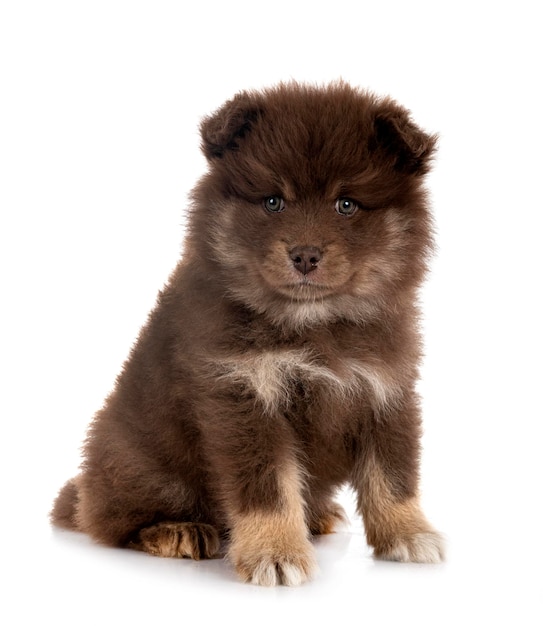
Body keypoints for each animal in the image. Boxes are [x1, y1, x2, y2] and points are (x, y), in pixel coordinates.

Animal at [51, 80, 444, 584]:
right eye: (273, 201)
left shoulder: (386, 389)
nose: (305, 255)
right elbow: (269, 488)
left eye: (346, 205)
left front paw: (408, 533)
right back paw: (177, 531)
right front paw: (275, 551)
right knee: (111, 521)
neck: (313, 325)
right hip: (143, 469)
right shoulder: (244, 395)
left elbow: (393, 477)